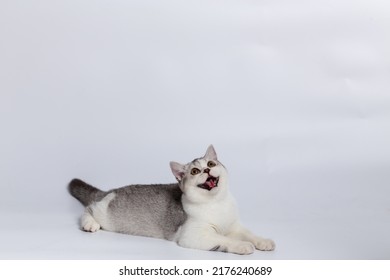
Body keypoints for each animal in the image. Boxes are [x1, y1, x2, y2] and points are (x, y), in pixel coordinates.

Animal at [68, 145, 274, 255]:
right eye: (195, 171)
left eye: (211, 163)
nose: (207, 170)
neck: (216, 204)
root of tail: (109, 191)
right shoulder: (193, 235)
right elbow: (223, 239)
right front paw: (241, 245)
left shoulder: (234, 226)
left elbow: (249, 233)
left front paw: (262, 241)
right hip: (105, 215)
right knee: (88, 208)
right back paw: (89, 224)